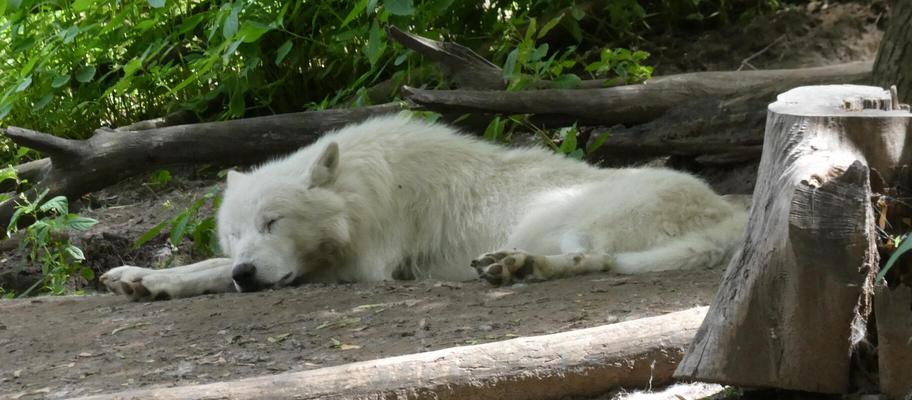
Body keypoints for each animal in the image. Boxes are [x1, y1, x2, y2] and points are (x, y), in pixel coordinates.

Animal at [100, 114, 747, 301]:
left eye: (272, 223)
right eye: (235, 235)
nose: (245, 272)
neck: (362, 190)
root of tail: (733, 217)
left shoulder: (366, 268)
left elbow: (208, 272)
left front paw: (157, 280)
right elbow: (200, 268)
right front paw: (141, 278)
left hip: (558, 217)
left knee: (595, 261)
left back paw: (515, 266)